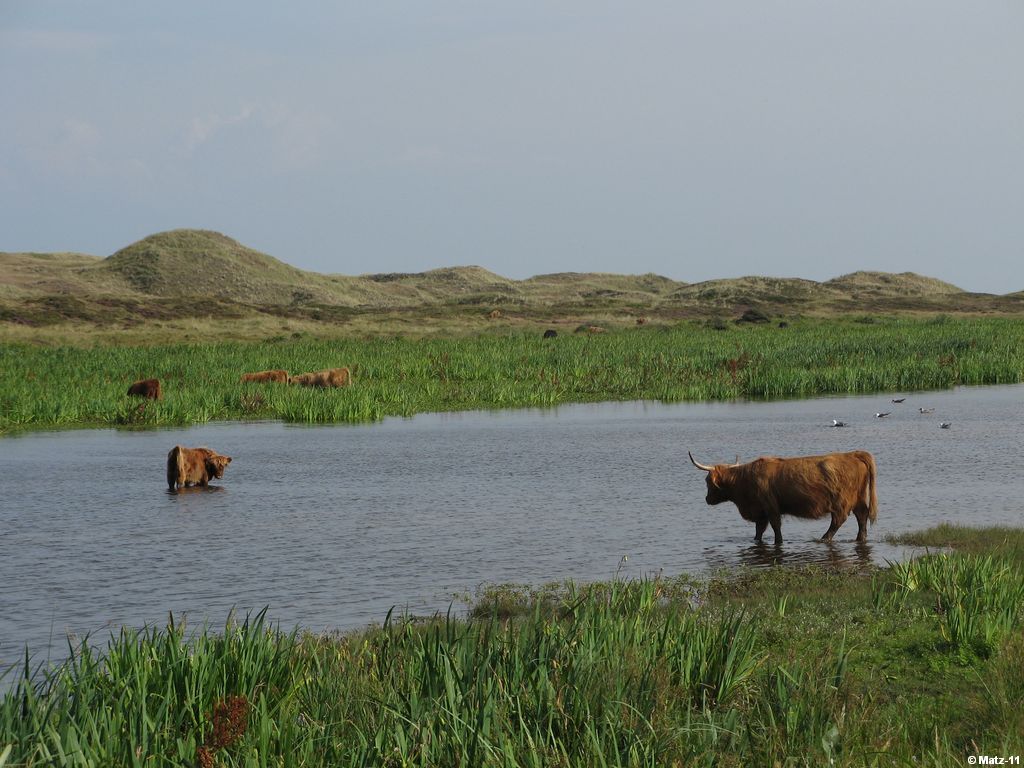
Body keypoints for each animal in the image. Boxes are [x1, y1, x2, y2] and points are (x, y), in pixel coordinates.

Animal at [684, 450, 876, 548]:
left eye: (707, 481)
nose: (707, 499)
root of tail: (853, 454)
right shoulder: (760, 511)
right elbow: (759, 530)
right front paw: (756, 540)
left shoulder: (770, 507)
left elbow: (775, 527)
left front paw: (779, 542)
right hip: (859, 497)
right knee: (862, 515)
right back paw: (860, 538)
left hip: (841, 501)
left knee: (839, 519)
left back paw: (824, 538)